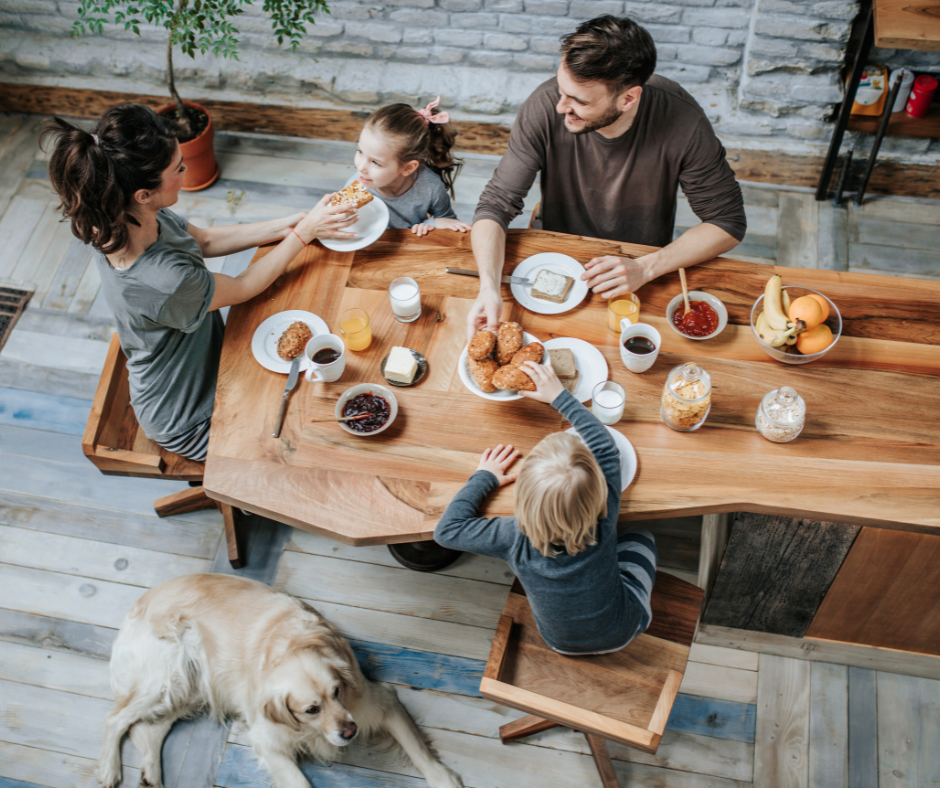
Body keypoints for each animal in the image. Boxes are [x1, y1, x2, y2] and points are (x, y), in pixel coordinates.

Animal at [95, 572, 462, 788]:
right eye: (311, 709)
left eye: (338, 692)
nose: (350, 732)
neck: (291, 646)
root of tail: (140, 600)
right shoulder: (267, 739)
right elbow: (297, 781)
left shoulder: (378, 700)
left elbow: (418, 749)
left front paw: (443, 778)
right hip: (164, 681)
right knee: (115, 719)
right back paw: (110, 770)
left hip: (185, 690)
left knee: (150, 728)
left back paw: (151, 776)